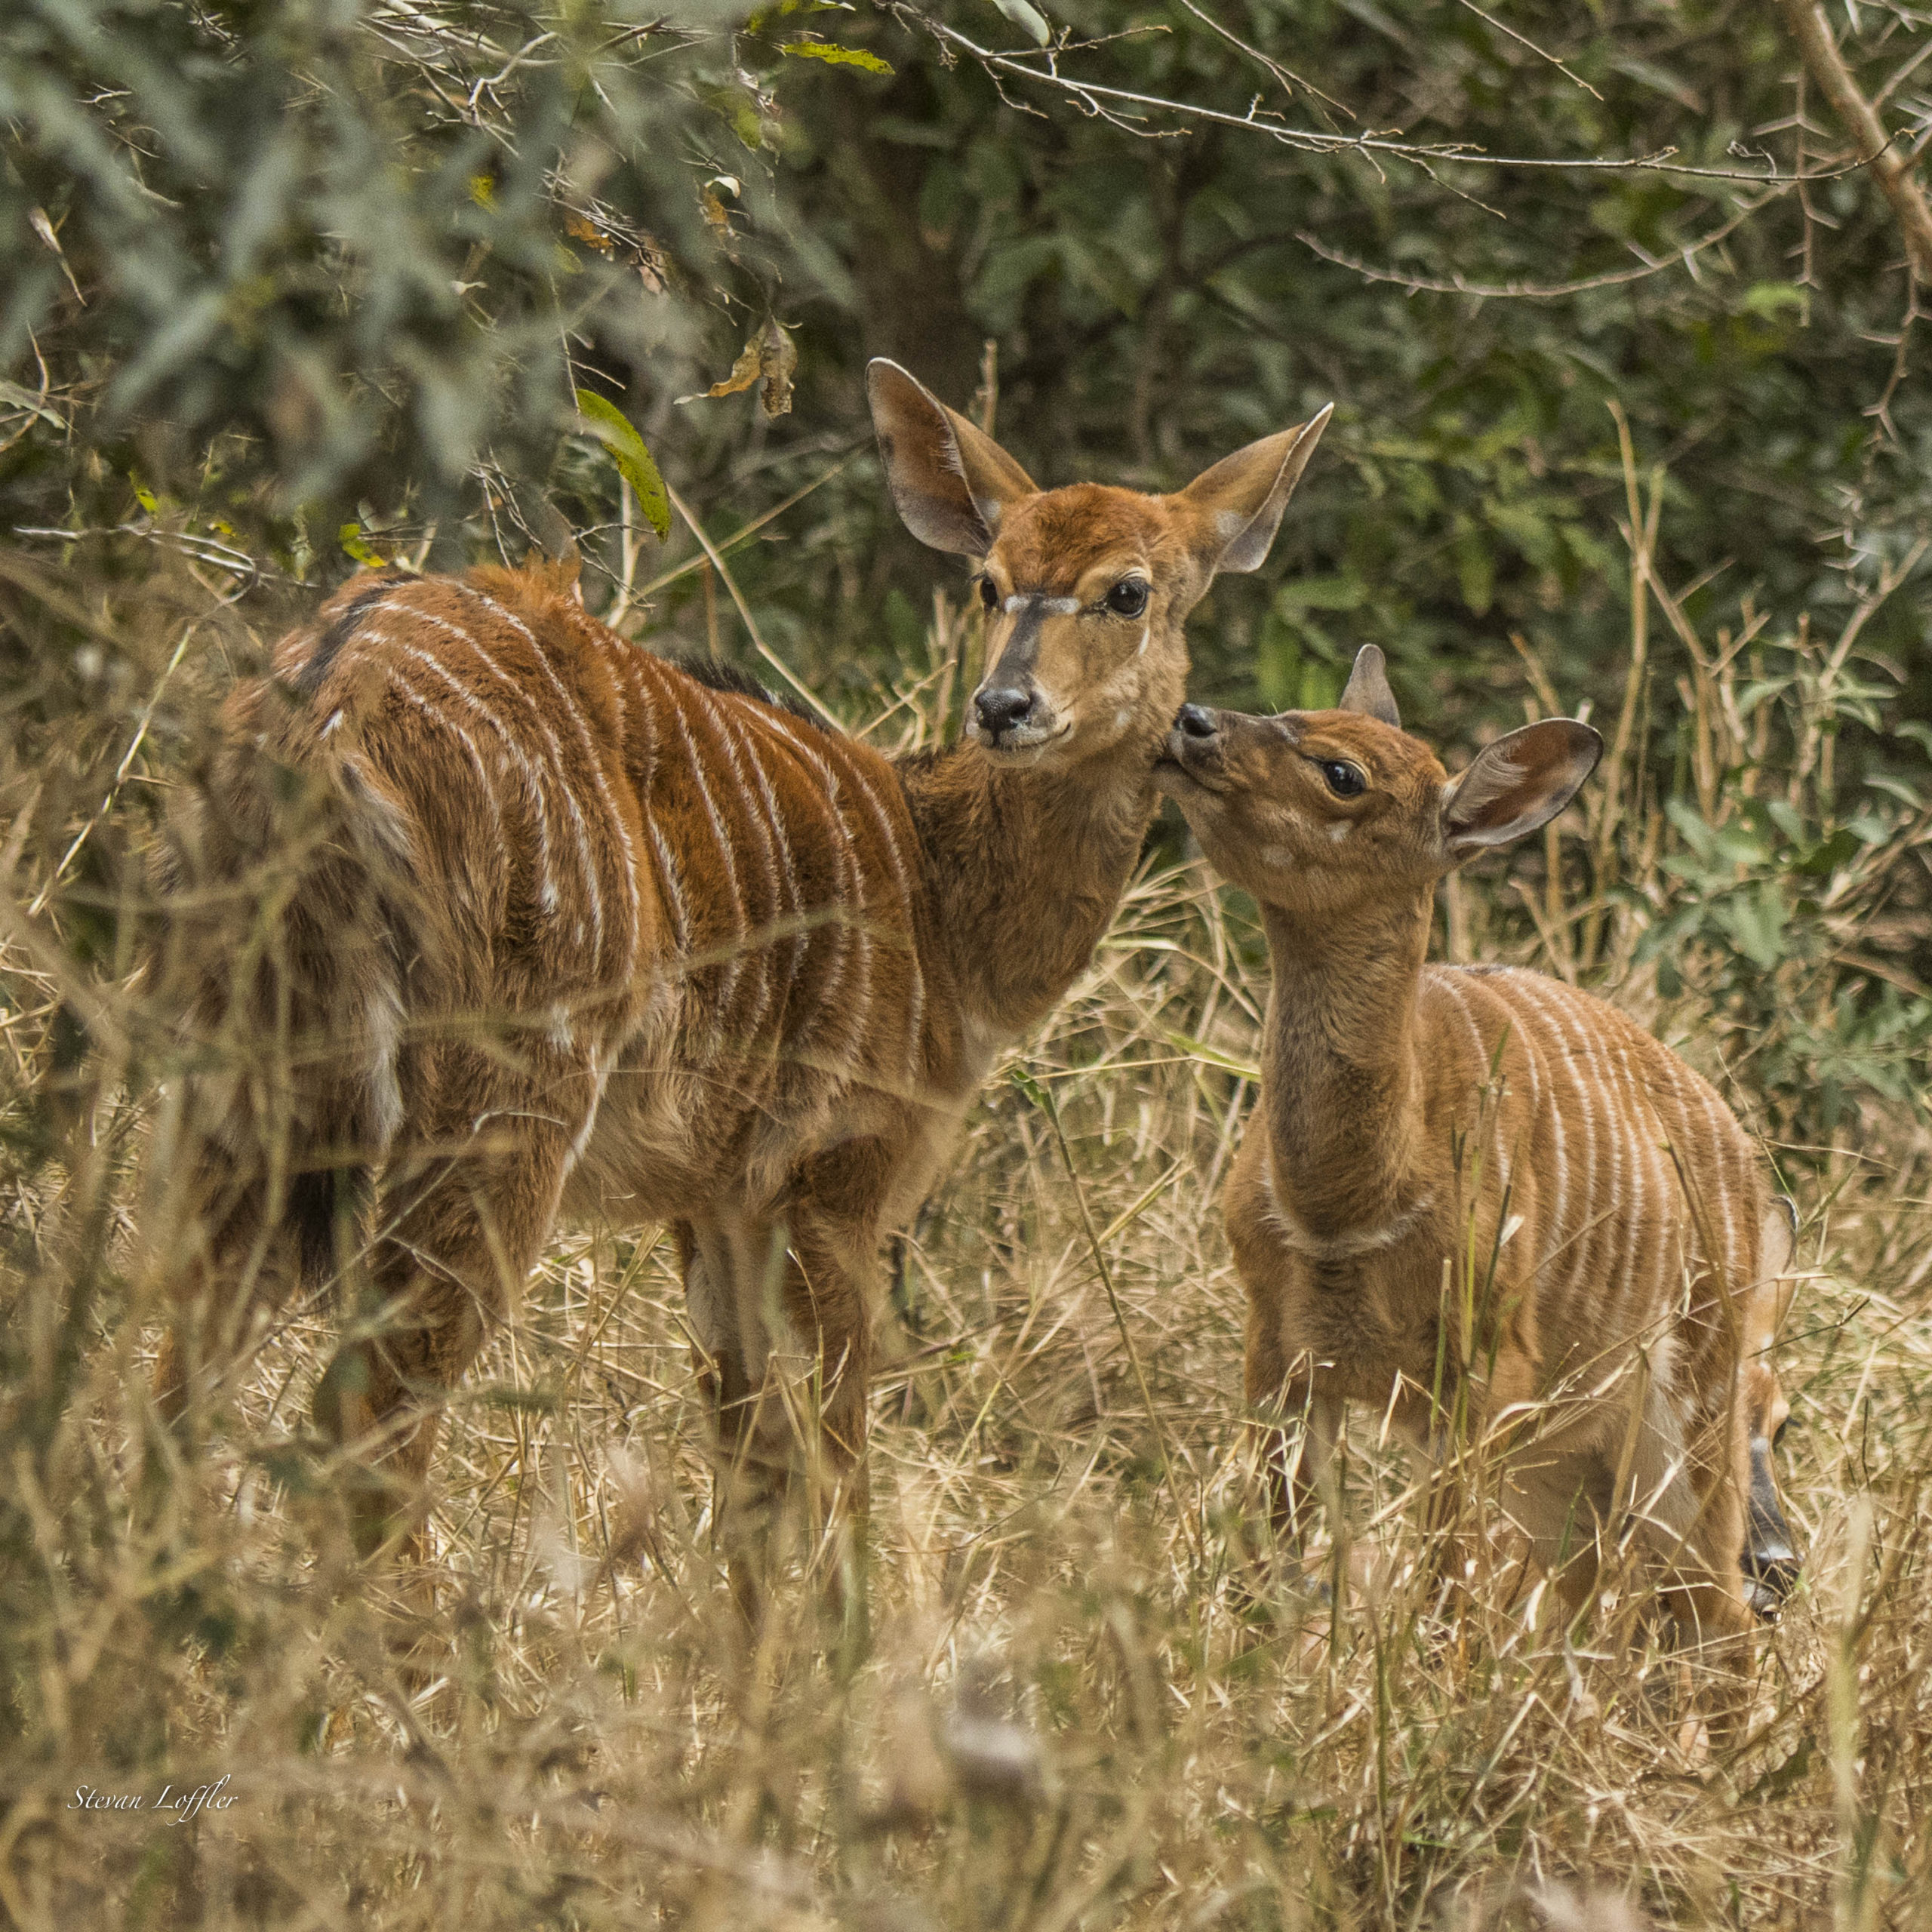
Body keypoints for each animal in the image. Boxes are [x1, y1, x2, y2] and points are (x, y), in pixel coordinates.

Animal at [146, 359, 1329, 1615]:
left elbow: (751, 1478)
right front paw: (857, 1655)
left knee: (173, 1365)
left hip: (241, 1077)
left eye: (1128, 592)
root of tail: (323, 717)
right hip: (501, 1100)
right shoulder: (835, 1175)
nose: (1004, 708)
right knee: (366, 1419)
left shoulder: (714, 1198)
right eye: (991, 582)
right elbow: (839, 1453)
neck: (943, 918)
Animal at [1151, 645, 1800, 1677]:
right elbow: (1275, 1571)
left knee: (1712, 1616)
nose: (1191, 720)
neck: (1348, 1204)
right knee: (1599, 1600)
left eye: (1343, 773)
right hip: (1568, 1465)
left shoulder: (1483, 1367)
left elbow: (1442, 1591)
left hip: (1682, 1414)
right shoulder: (1278, 1353)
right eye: (1287, 714)